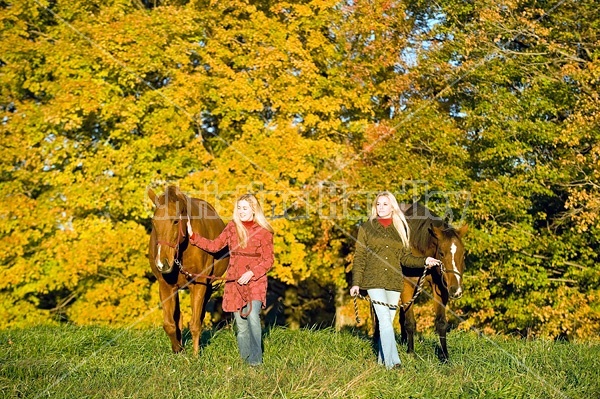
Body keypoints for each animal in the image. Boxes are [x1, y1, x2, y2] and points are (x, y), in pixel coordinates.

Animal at [146, 186, 229, 354]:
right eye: (153, 222)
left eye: (175, 221)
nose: (162, 264)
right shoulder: (166, 286)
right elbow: (170, 324)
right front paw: (178, 350)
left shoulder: (199, 284)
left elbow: (195, 323)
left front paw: (195, 355)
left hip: (208, 286)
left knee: (200, 316)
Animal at [400, 203, 466, 362]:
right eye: (441, 253)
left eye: (463, 254)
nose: (456, 290)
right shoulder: (407, 285)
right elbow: (410, 322)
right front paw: (411, 353)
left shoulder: (440, 287)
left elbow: (441, 323)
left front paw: (445, 356)